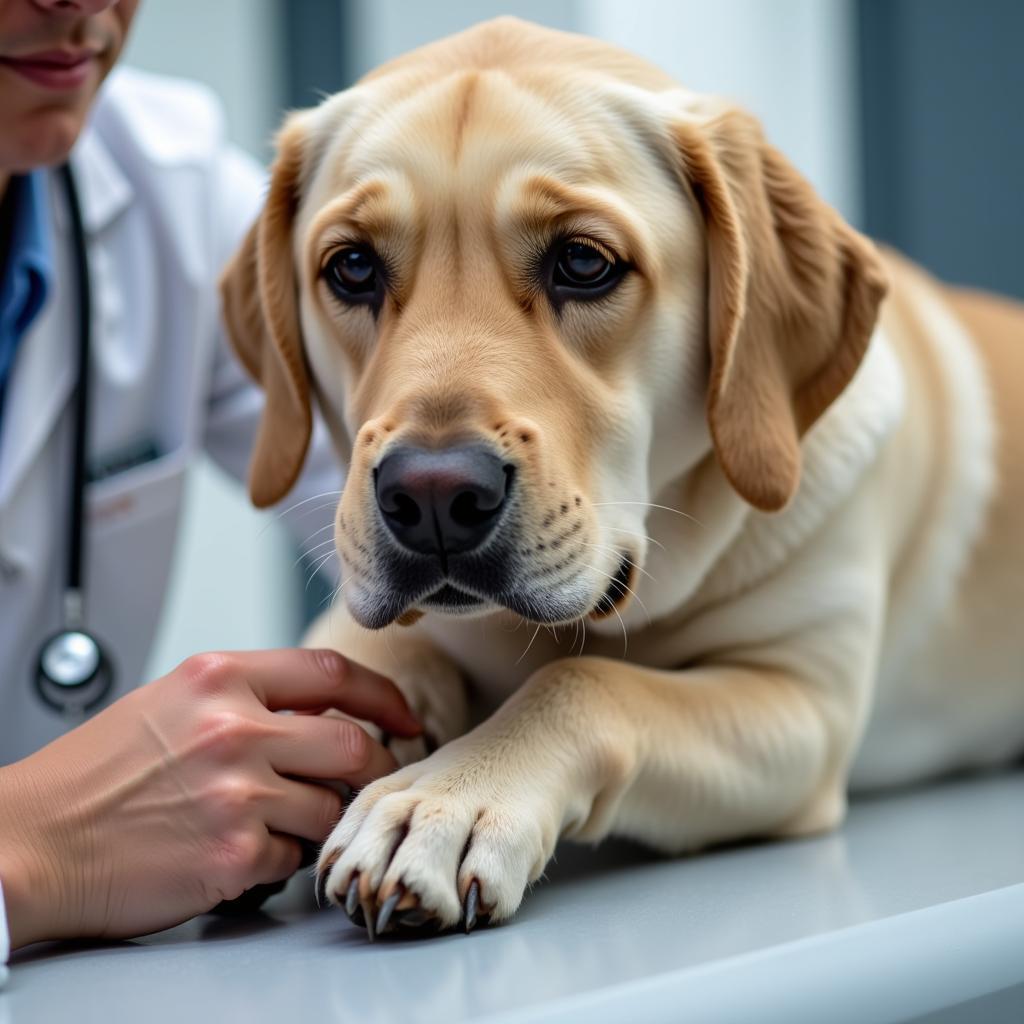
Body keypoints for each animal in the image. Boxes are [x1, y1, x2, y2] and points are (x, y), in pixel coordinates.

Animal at [218, 22, 1024, 937]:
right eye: (351, 268)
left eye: (582, 261)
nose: (431, 498)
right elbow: (364, 662)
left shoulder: (802, 705)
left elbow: (589, 684)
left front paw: (444, 797)